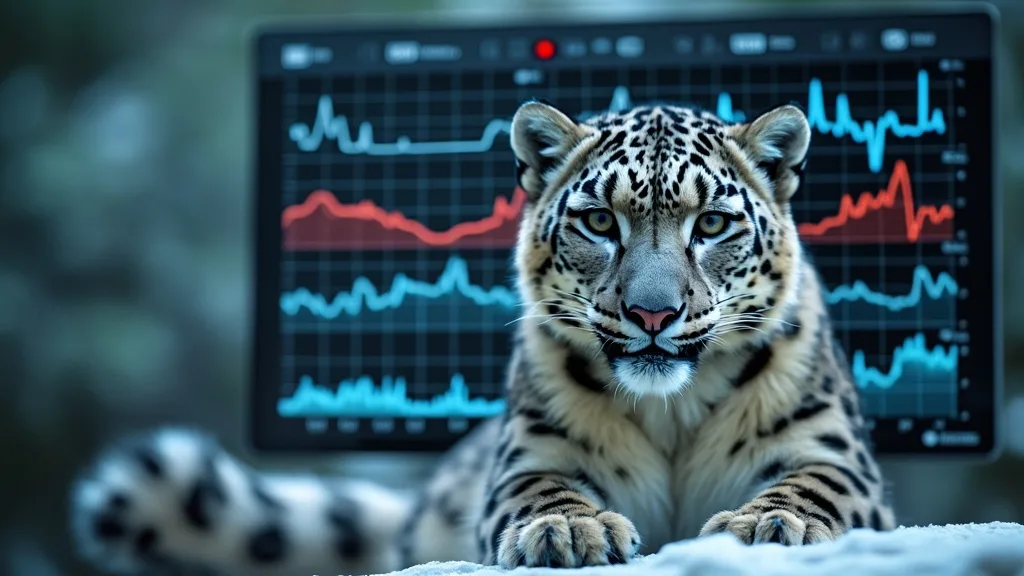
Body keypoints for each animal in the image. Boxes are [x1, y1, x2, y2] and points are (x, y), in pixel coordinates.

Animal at [69, 98, 895, 575]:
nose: (653, 314)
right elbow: (541, 490)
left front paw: (771, 523)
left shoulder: (827, 449)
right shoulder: (535, 450)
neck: (672, 415)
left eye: (713, 223)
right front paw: (567, 531)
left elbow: (812, 485)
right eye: (601, 221)